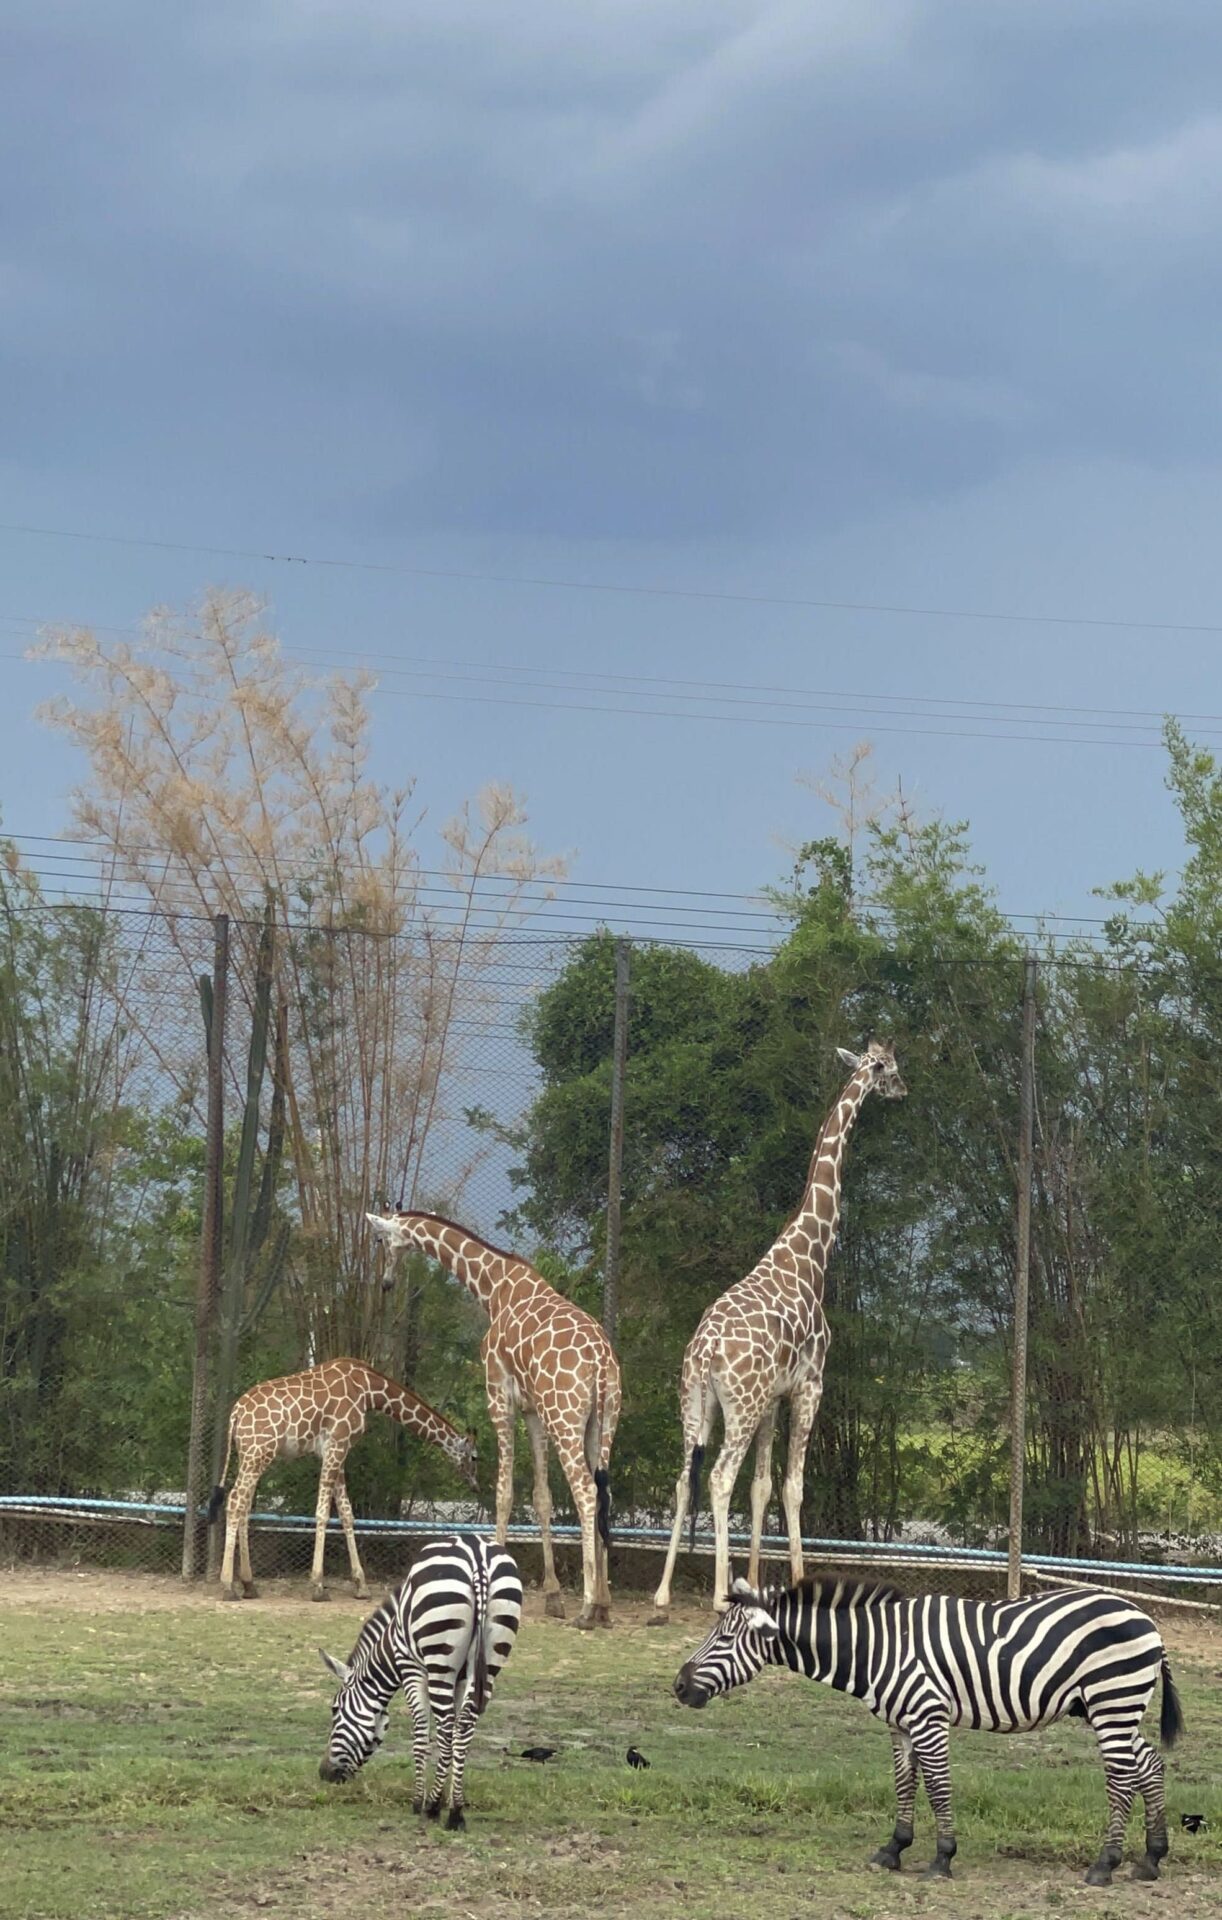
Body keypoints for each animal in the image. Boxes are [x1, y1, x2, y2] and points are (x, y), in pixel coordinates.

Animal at [207, 1351, 480, 1605]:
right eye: (475, 1457)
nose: (475, 1485)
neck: (370, 1391)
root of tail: (235, 1414)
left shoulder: (338, 1451)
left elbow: (347, 1514)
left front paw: (361, 1586)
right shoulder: (337, 1445)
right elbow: (323, 1513)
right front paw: (318, 1586)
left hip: (251, 1455)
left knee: (244, 1505)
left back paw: (249, 1584)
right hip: (258, 1452)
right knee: (235, 1500)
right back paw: (228, 1587)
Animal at [317, 1528, 522, 1827]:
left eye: (334, 1710)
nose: (324, 1774)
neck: (391, 1641)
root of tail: (477, 1554)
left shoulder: (411, 1668)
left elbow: (422, 1734)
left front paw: (419, 1800)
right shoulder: (460, 1678)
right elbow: (451, 1733)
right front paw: (447, 1797)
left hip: (439, 1655)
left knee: (447, 1727)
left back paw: (436, 1808)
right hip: (493, 1653)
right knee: (464, 1726)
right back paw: (456, 1810)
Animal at [363, 1205, 618, 1628]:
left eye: (381, 1240)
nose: (384, 1282)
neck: (493, 1286)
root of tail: (600, 1363)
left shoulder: (498, 1394)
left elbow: (503, 1492)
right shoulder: (532, 1409)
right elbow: (541, 1496)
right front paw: (552, 1596)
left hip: (566, 1418)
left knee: (585, 1491)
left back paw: (586, 1607)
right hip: (603, 1420)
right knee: (603, 1492)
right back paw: (603, 1605)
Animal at [649, 1044, 906, 1628]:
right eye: (890, 1066)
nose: (903, 1090)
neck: (810, 1255)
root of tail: (705, 1351)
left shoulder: (772, 1397)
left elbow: (762, 1486)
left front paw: (756, 1578)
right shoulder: (809, 1385)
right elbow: (792, 1486)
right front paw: (797, 1579)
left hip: (695, 1404)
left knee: (683, 1479)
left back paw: (663, 1593)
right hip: (737, 1407)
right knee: (719, 1477)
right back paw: (715, 1593)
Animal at [672, 1582, 1175, 1881]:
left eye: (723, 1638)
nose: (677, 1686)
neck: (876, 1648)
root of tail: (1145, 1618)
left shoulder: (928, 1716)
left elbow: (936, 1786)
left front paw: (942, 1858)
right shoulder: (900, 1724)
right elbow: (904, 1783)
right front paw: (893, 1849)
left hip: (1112, 1701)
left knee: (1121, 1778)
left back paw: (1105, 1865)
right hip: (1110, 1707)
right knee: (1149, 1764)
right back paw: (1151, 1859)